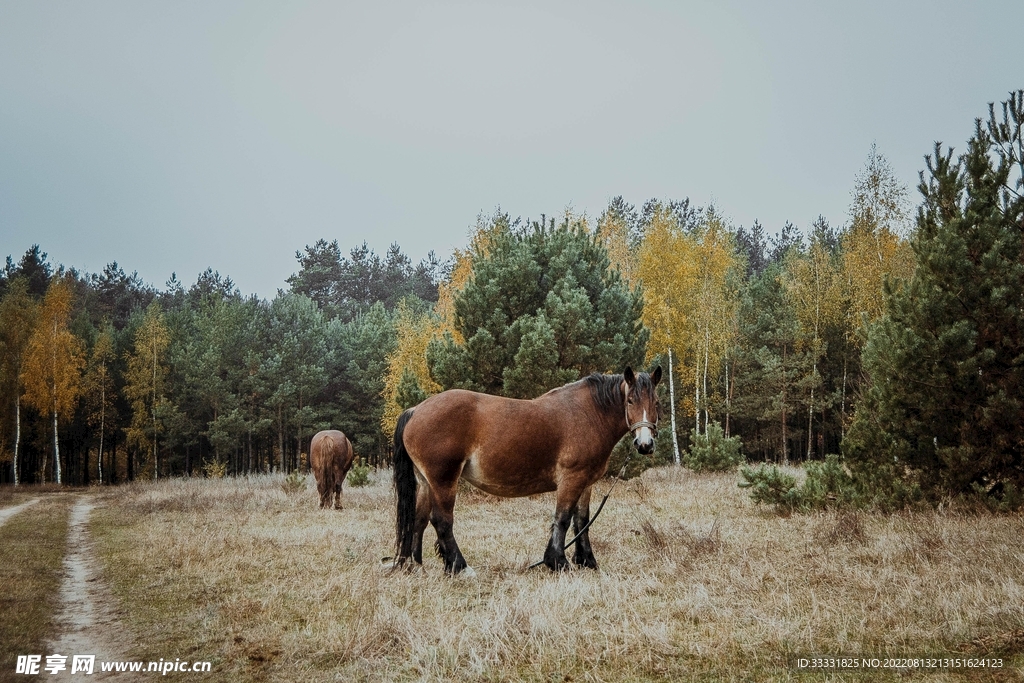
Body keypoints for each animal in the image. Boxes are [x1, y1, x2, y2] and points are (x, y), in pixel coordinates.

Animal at [392, 366, 661, 574]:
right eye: (630, 400)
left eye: (656, 403)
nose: (645, 444)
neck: (588, 413)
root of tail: (415, 410)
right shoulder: (571, 479)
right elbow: (563, 519)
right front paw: (558, 562)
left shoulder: (586, 482)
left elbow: (582, 521)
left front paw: (587, 561)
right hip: (443, 480)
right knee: (442, 521)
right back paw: (459, 567)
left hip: (426, 482)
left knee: (419, 520)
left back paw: (416, 566)